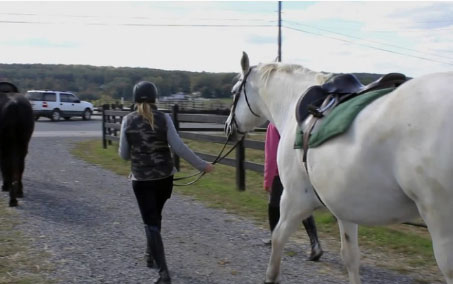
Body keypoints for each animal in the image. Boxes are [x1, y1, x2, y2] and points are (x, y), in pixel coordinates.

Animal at [226, 52, 452, 282]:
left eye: (234, 92)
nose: (228, 127)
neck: (292, 104)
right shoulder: (344, 207)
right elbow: (351, 257)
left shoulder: (294, 197)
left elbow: (278, 238)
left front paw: (271, 277)